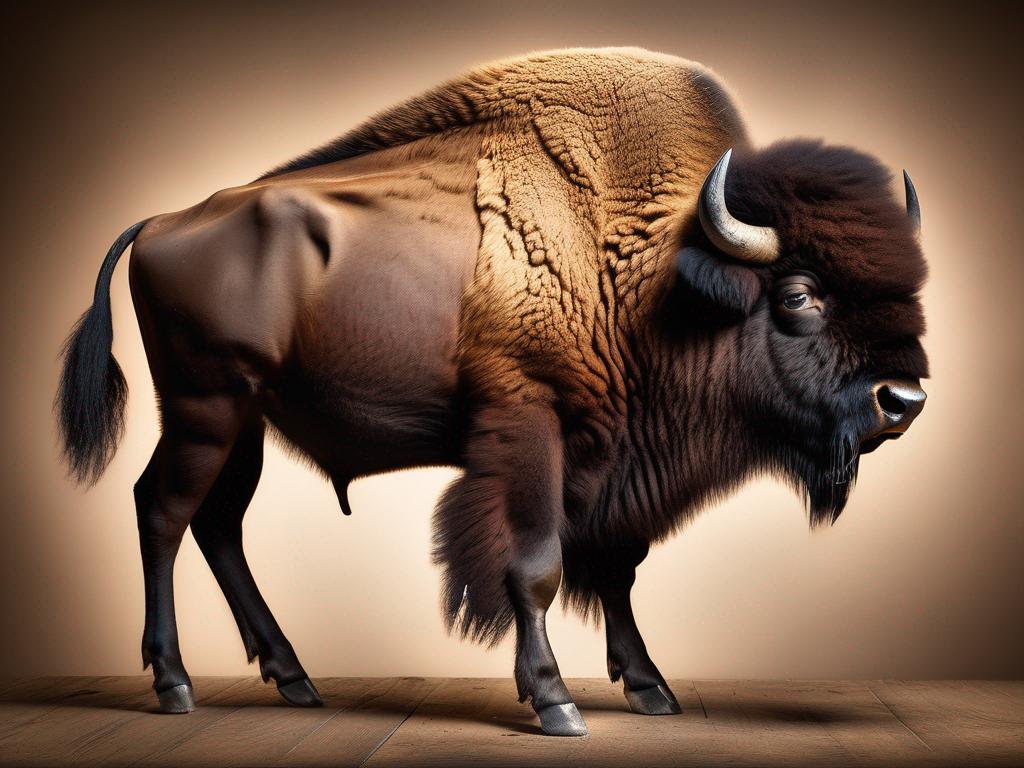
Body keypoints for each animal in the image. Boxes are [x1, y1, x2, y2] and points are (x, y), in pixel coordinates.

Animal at [56, 48, 928, 736]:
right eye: (800, 294)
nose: (904, 399)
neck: (655, 273)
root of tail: (159, 223)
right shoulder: (529, 424)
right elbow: (536, 564)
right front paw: (555, 703)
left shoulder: (613, 467)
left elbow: (616, 567)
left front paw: (651, 688)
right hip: (205, 408)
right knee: (163, 512)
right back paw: (175, 685)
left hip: (247, 420)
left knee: (219, 524)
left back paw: (294, 678)